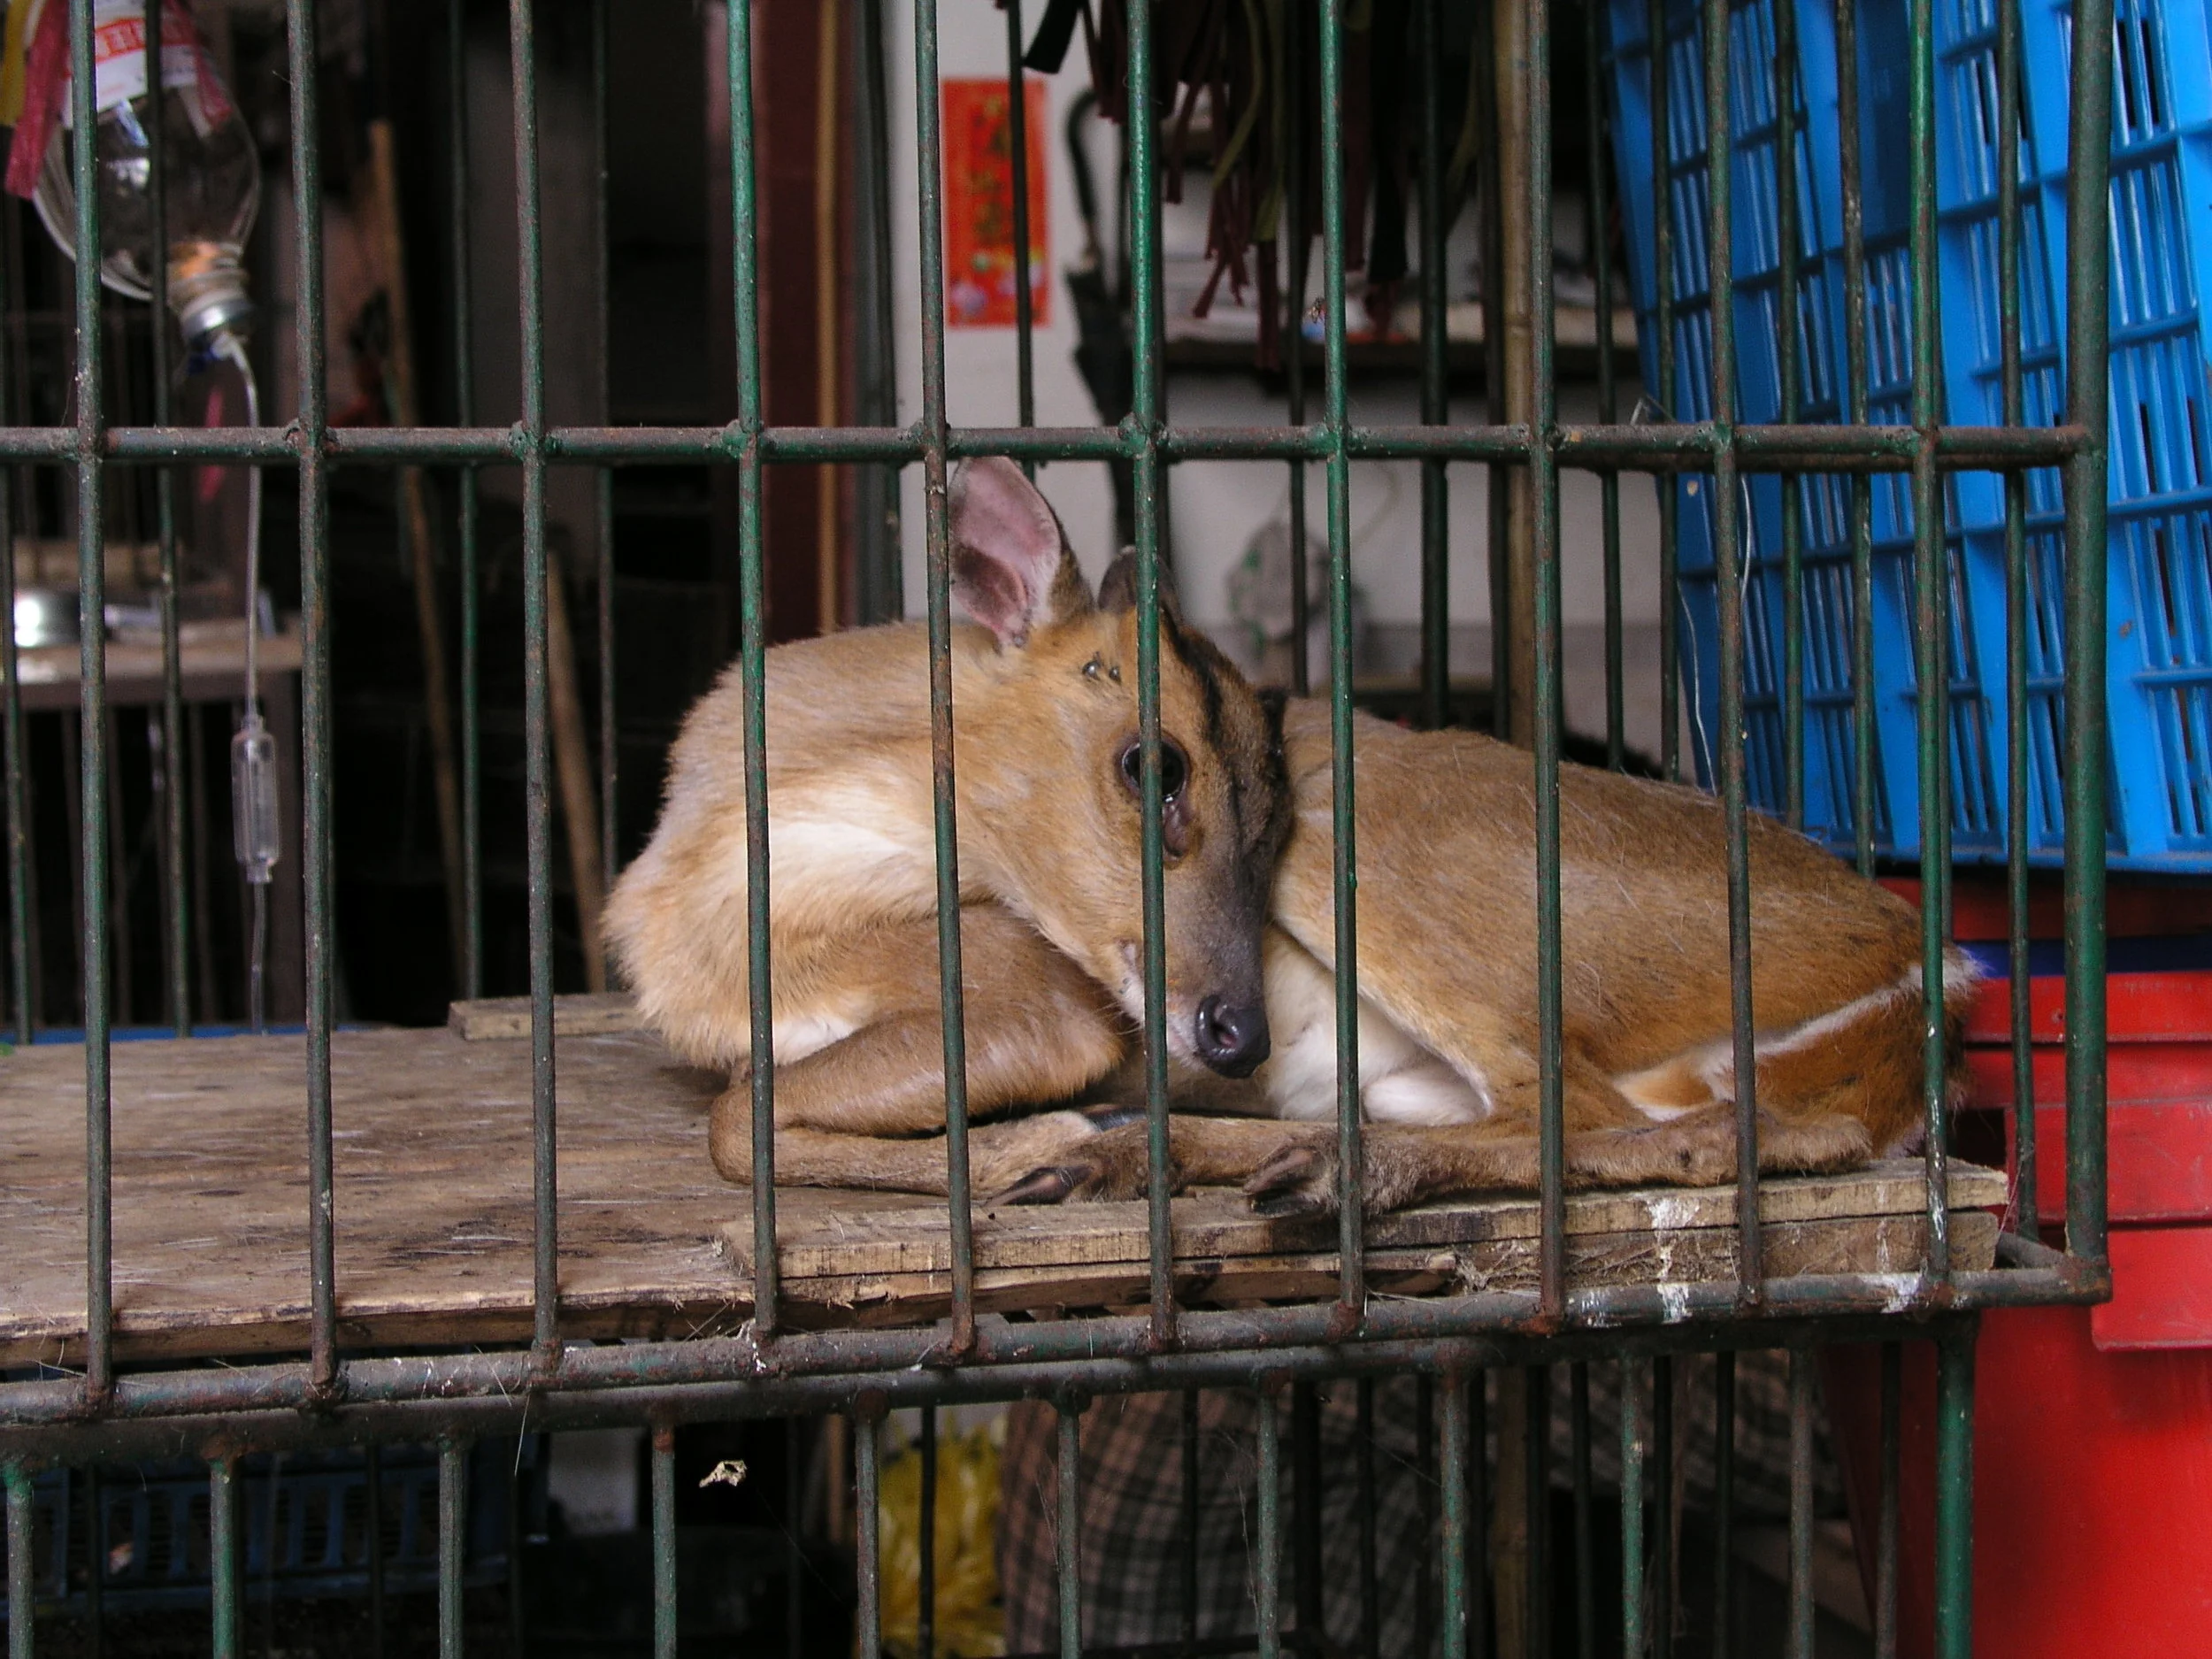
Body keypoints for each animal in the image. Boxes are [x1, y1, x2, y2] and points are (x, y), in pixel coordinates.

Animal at [602, 462, 1973, 1212]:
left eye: (1256, 800)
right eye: (1153, 765)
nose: (1237, 1034)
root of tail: (1918, 973)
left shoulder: (1032, 997)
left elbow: (737, 1121)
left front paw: (1033, 1144)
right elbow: (739, 1110)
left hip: (1383, 862)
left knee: (1572, 1109)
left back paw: (1197, 1162)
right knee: (1724, 1126)